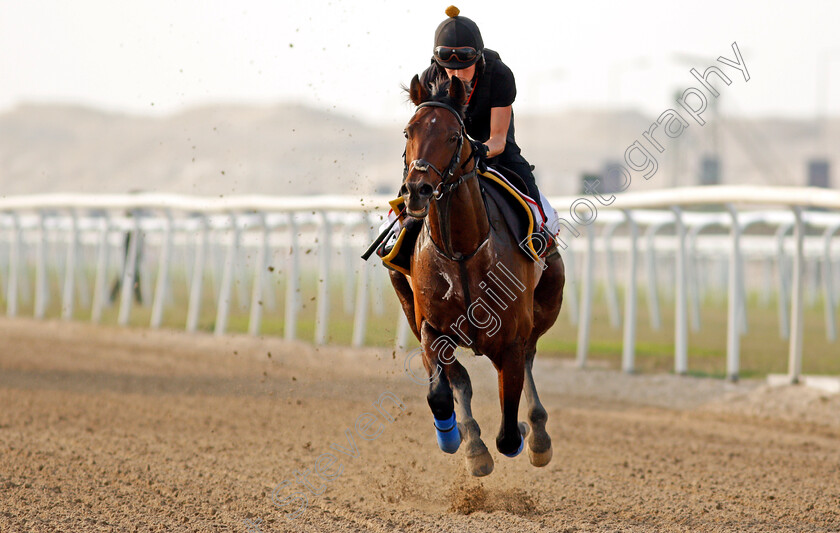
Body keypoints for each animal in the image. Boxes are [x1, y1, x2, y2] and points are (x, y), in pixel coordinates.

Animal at [388, 72, 564, 476]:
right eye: (408, 131)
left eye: (455, 135)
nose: (417, 189)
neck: (462, 252)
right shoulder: (431, 328)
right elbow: (442, 391)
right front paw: (459, 441)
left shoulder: (512, 337)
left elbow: (509, 429)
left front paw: (521, 433)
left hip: (547, 302)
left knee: (529, 358)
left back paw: (537, 435)